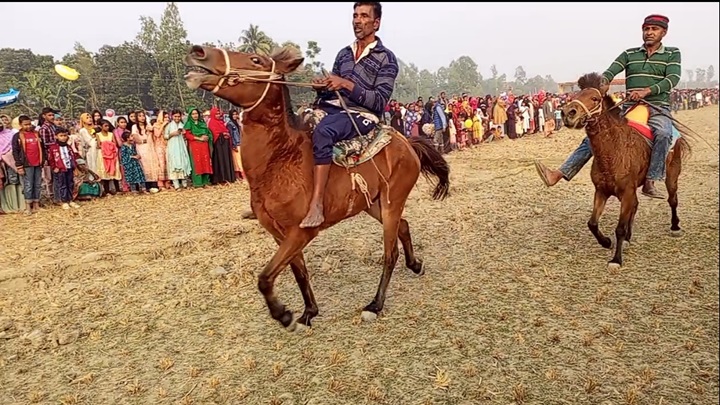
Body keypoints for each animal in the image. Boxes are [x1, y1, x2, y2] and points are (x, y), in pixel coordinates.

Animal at [183, 45, 448, 330]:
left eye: (256, 60)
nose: (199, 51)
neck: (280, 160)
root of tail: (407, 143)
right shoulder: (279, 234)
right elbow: (299, 272)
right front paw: (309, 311)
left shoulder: (300, 232)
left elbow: (265, 277)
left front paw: (283, 314)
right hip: (373, 204)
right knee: (404, 226)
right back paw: (415, 265)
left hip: (392, 201)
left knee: (390, 253)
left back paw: (375, 305)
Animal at [564, 73, 688, 268]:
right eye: (575, 95)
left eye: (595, 98)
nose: (568, 113)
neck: (613, 152)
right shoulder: (601, 191)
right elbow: (592, 223)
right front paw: (606, 242)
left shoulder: (627, 192)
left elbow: (620, 228)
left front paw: (616, 259)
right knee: (636, 206)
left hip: (672, 174)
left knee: (672, 200)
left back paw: (675, 227)